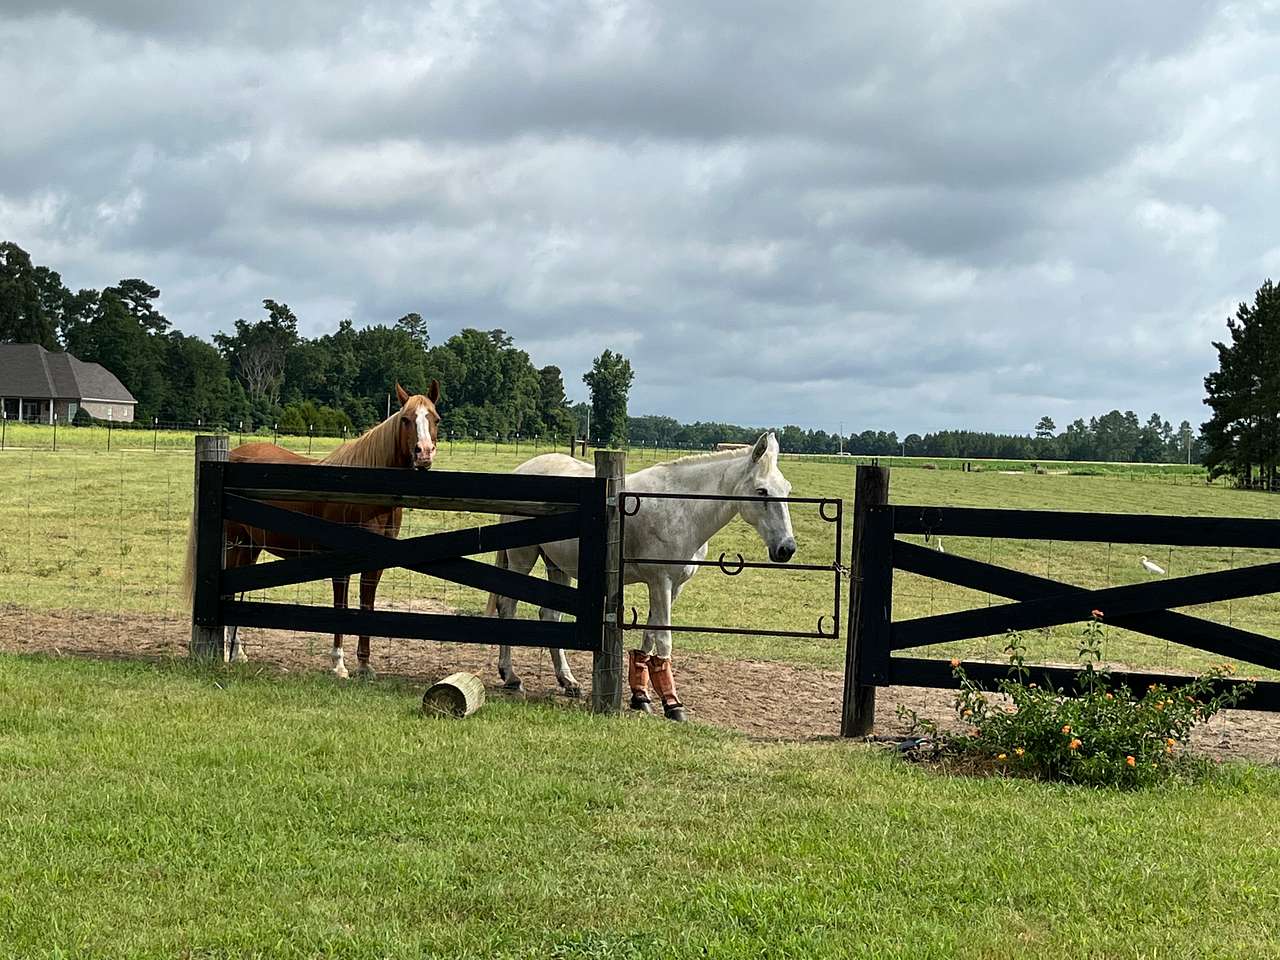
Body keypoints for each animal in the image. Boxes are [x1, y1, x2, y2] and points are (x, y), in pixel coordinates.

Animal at [181, 381, 441, 678]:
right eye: (406, 419)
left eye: (435, 418)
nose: (424, 453)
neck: (365, 493)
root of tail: (231, 458)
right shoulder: (341, 561)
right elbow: (341, 607)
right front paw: (339, 665)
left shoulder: (376, 563)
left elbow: (367, 604)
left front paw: (364, 666)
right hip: (234, 544)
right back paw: (232, 653)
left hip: (250, 547)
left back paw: (238, 654)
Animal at [485, 431, 796, 720]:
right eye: (762, 491)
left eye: (787, 489)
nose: (786, 548)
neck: (682, 509)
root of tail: (522, 469)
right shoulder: (661, 582)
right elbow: (664, 640)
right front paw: (673, 705)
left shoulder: (670, 587)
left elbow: (649, 638)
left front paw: (641, 697)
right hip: (523, 558)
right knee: (507, 607)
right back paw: (511, 676)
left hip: (558, 566)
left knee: (549, 615)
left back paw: (568, 681)